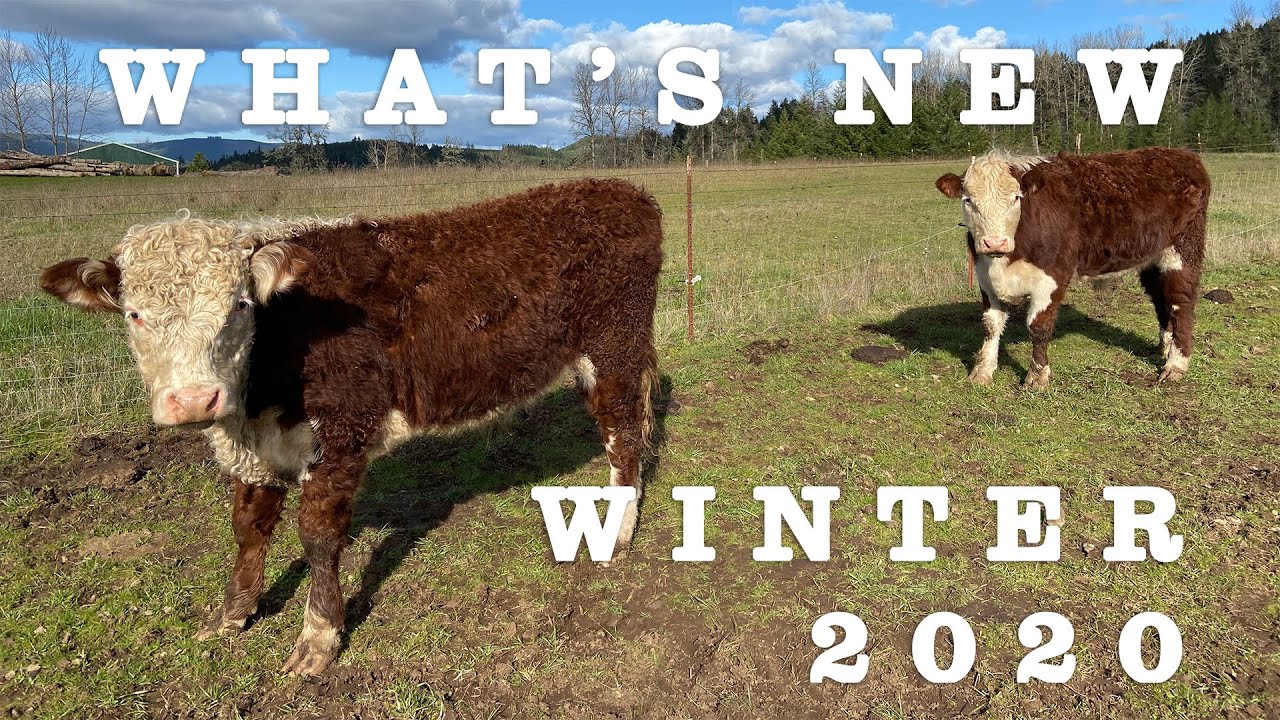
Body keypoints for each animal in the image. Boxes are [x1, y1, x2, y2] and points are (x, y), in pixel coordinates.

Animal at [40, 179, 664, 676]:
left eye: (240, 305)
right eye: (134, 314)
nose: (195, 399)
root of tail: (617, 189)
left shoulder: (342, 432)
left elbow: (317, 535)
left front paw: (317, 641)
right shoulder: (257, 450)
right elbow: (248, 528)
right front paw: (232, 614)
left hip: (614, 345)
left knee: (623, 431)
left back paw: (617, 530)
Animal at [935, 148, 1211, 388]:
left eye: (1016, 198)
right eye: (968, 200)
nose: (994, 242)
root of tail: (1182, 154)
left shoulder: (1052, 277)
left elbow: (1038, 326)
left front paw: (1037, 377)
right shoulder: (985, 277)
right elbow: (991, 325)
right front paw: (982, 372)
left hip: (1183, 249)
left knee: (1181, 304)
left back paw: (1175, 365)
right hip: (1152, 258)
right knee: (1161, 299)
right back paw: (1164, 348)